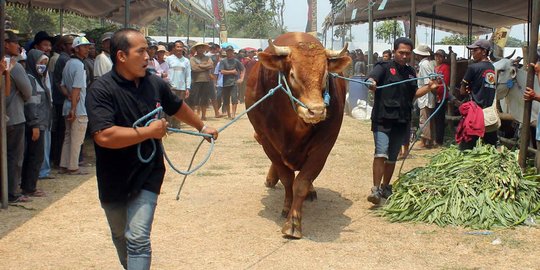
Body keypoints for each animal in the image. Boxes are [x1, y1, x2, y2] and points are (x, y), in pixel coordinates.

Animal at [245, 32, 350, 238]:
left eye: (325, 75)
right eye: (293, 75)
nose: (316, 111)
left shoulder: (323, 146)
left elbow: (302, 182)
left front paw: (293, 222)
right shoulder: (268, 143)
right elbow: (287, 178)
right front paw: (287, 207)